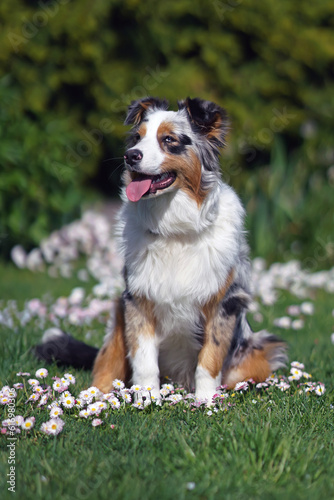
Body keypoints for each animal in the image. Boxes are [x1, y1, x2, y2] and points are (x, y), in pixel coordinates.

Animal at [36, 96, 288, 402]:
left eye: (168, 139)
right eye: (137, 138)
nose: (130, 156)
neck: (174, 227)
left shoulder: (224, 302)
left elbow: (210, 358)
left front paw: (206, 401)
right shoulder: (138, 300)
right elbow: (144, 360)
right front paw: (146, 399)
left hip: (260, 348)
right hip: (118, 317)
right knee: (107, 364)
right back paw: (99, 397)